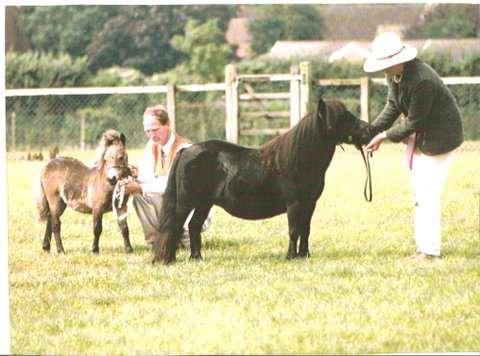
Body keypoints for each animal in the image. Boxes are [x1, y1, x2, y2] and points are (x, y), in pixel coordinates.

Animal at [154, 97, 376, 264]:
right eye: (342, 117)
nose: (370, 130)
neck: (299, 158)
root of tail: (186, 150)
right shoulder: (294, 204)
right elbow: (294, 230)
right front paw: (291, 256)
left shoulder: (309, 204)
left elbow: (305, 230)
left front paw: (304, 255)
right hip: (186, 203)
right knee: (174, 226)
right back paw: (169, 259)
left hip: (204, 203)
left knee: (193, 227)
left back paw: (197, 258)